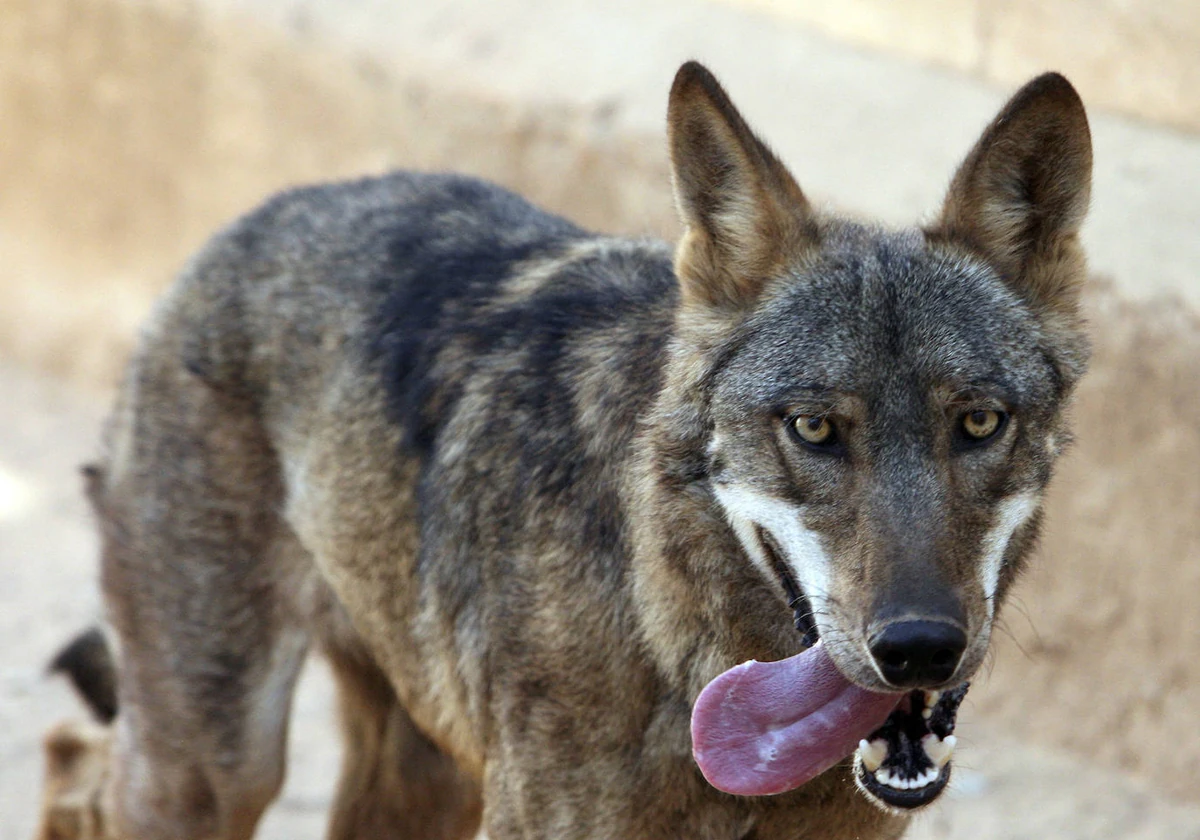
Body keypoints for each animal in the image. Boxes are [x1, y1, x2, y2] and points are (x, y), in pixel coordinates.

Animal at [42, 60, 1094, 840]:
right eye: (814, 429)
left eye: (979, 424)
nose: (919, 648)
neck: (677, 643)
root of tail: (254, 216)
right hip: (213, 768)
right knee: (76, 759)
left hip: (421, 780)